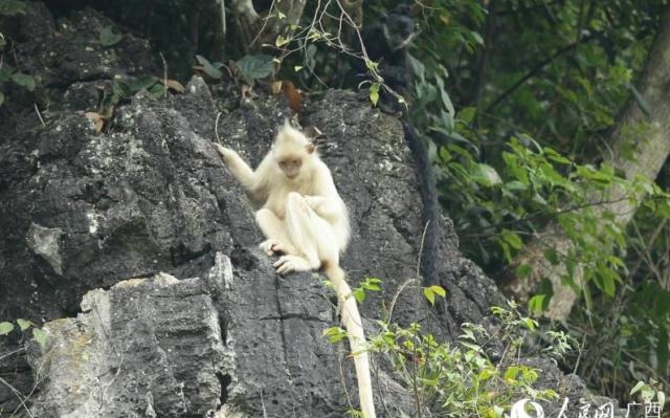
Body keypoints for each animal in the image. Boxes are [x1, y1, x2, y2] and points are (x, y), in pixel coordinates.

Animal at [214, 122, 376, 418]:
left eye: (296, 162)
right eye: (284, 163)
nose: (289, 171)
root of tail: (332, 258)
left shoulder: (320, 172)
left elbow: (330, 206)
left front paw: (299, 195)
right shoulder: (270, 165)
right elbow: (254, 188)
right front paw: (223, 152)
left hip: (326, 242)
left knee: (294, 202)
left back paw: (307, 259)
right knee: (265, 213)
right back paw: (282, 247)